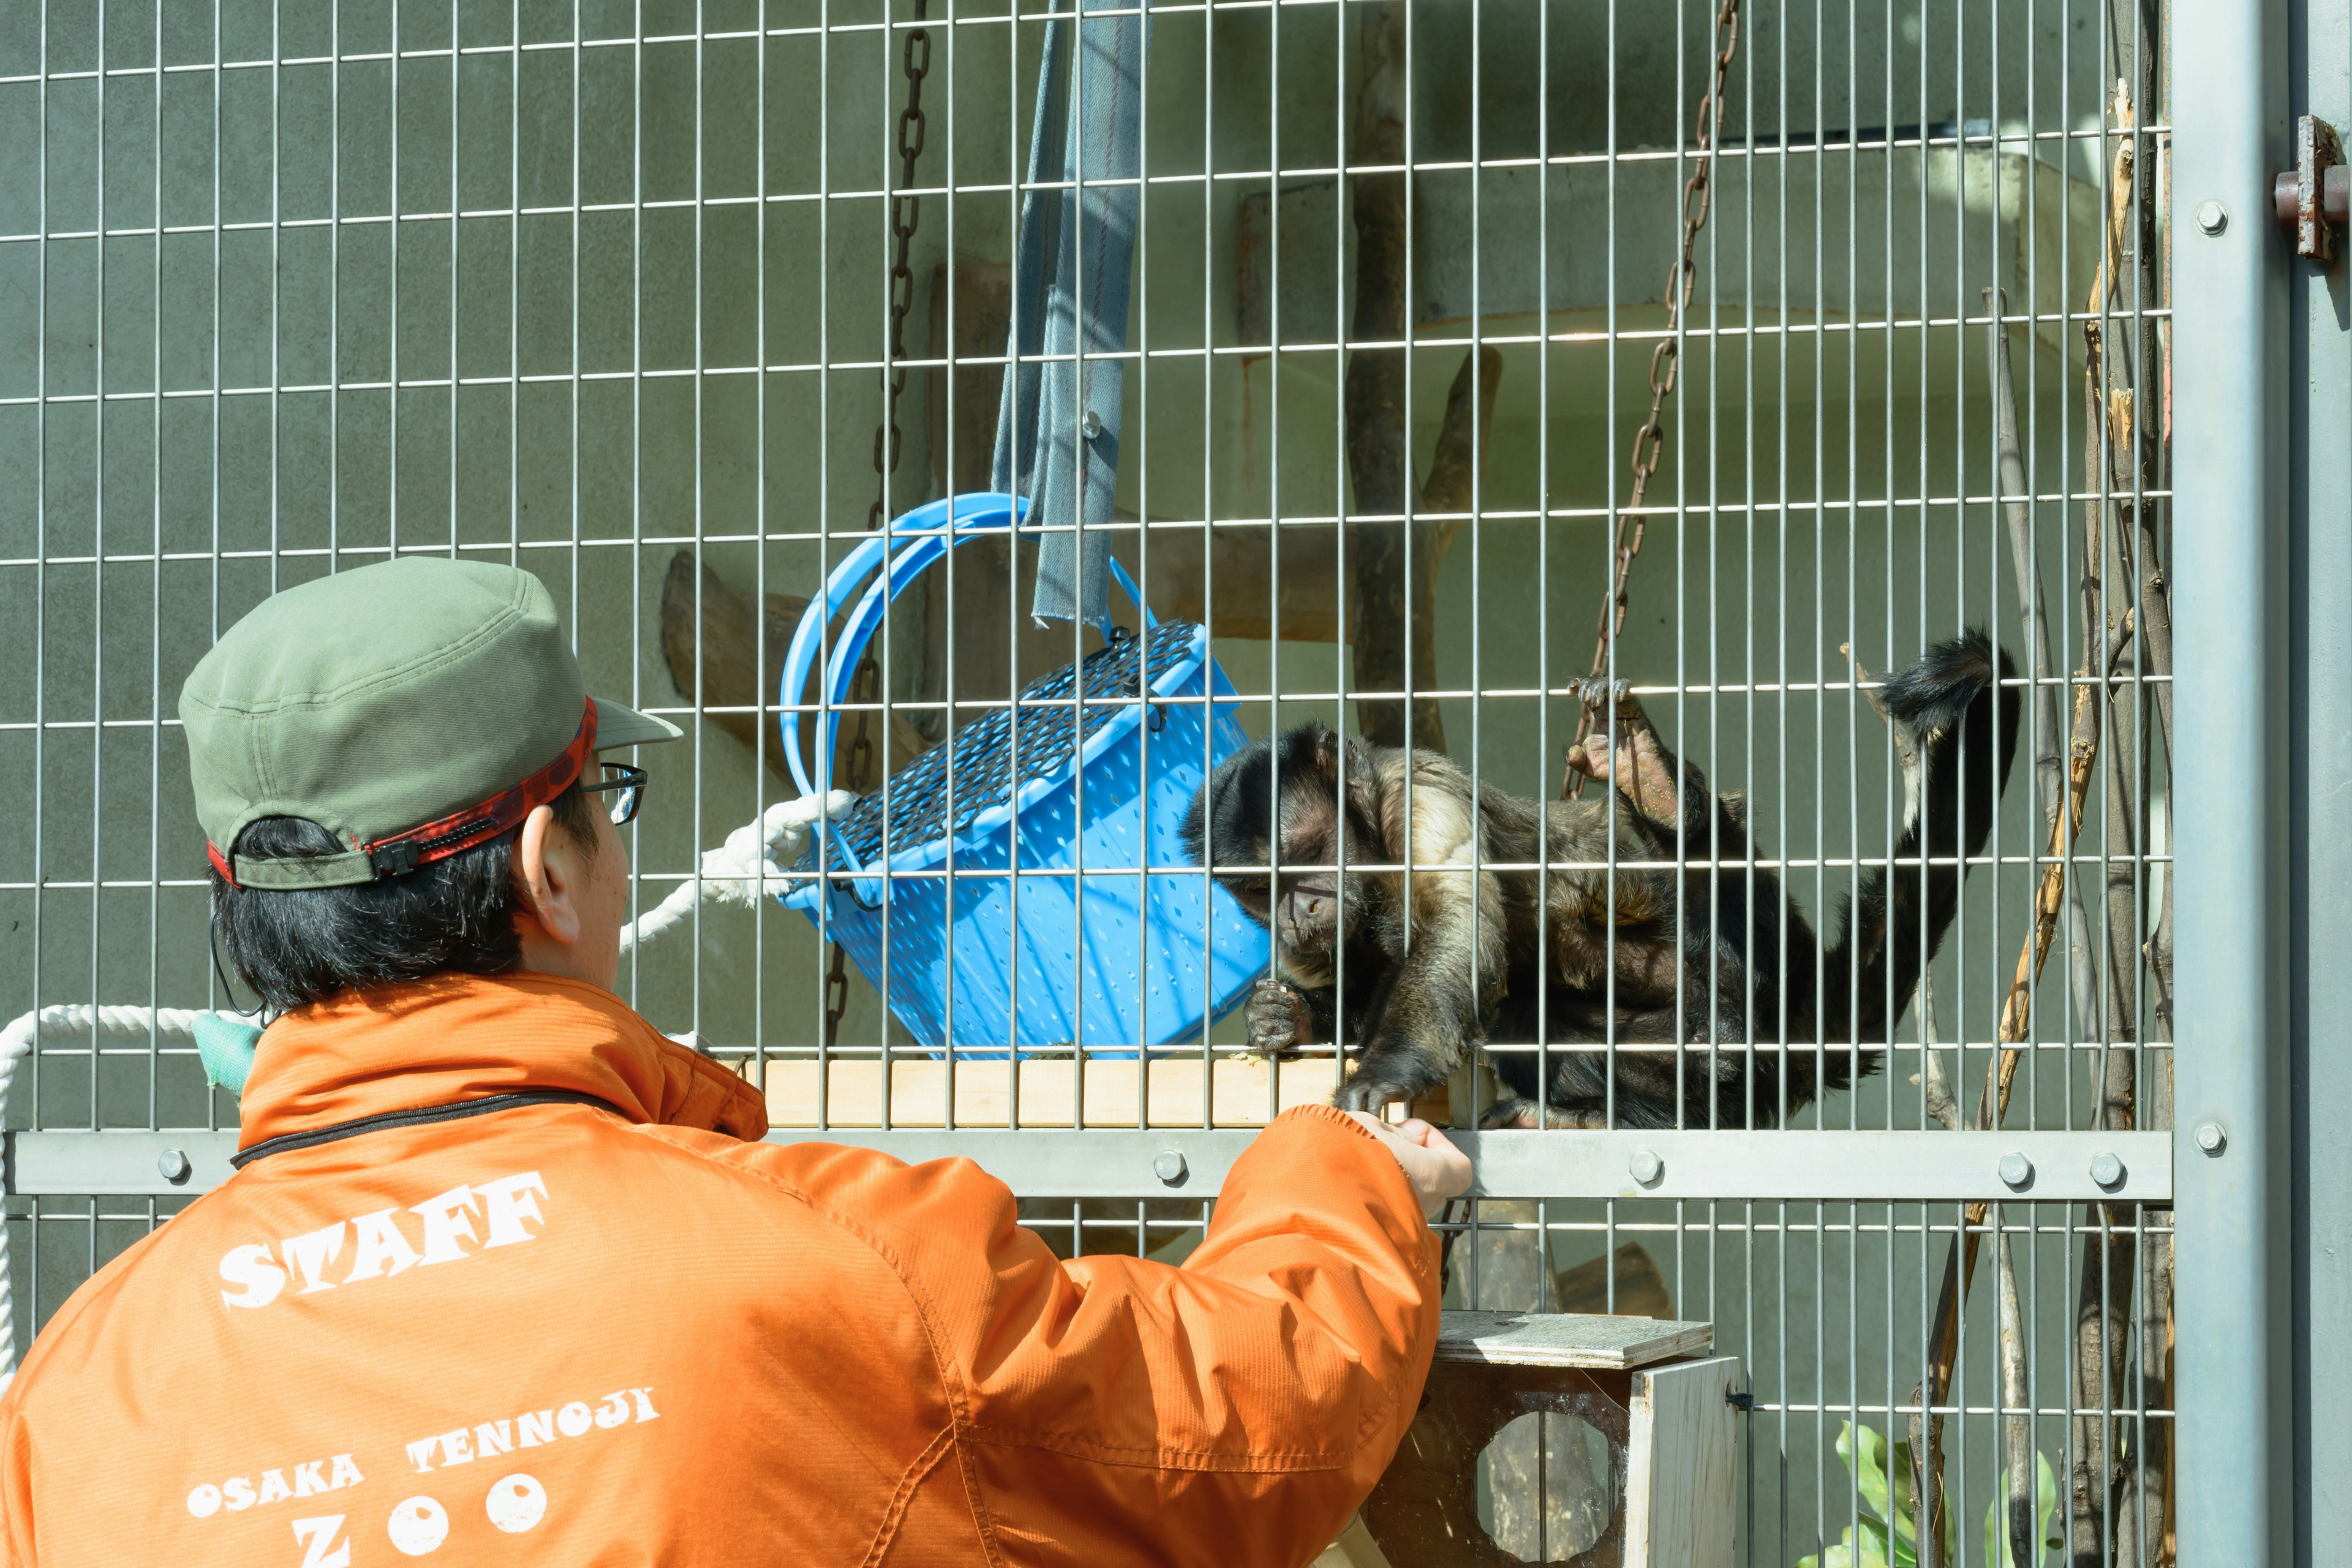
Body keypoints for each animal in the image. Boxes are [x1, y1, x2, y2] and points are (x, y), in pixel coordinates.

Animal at [1185, 630, 2013, 1133]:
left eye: (1308, 855)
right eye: (1259, 891)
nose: (1297, 909)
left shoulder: (1417, 798)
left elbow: (1457, 935)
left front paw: (1382, 1075)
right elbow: (1368, 984)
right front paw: (1287, 1019)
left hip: (1754, 993)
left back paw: (1661, 795)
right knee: (1525, 1014)